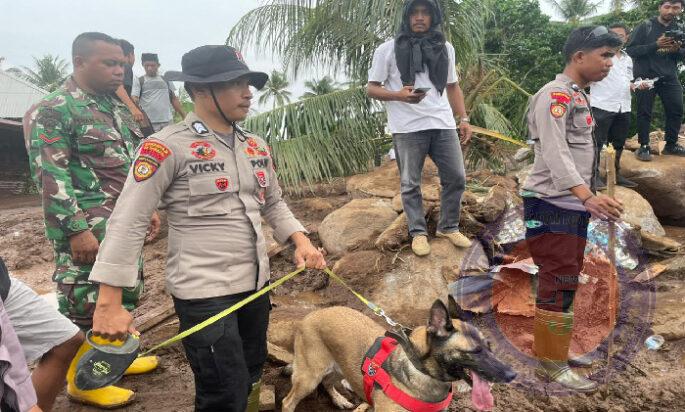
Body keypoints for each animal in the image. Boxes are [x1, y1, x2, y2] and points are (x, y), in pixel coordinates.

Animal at [280, 300, 512, 412]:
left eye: (489, 347)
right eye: (474, 351)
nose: (512, 375)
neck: (421, 369)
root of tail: (309, 315)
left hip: (341, 366)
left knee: (328, 382)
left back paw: (340, 401)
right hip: (309, 377)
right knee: (288, 401)